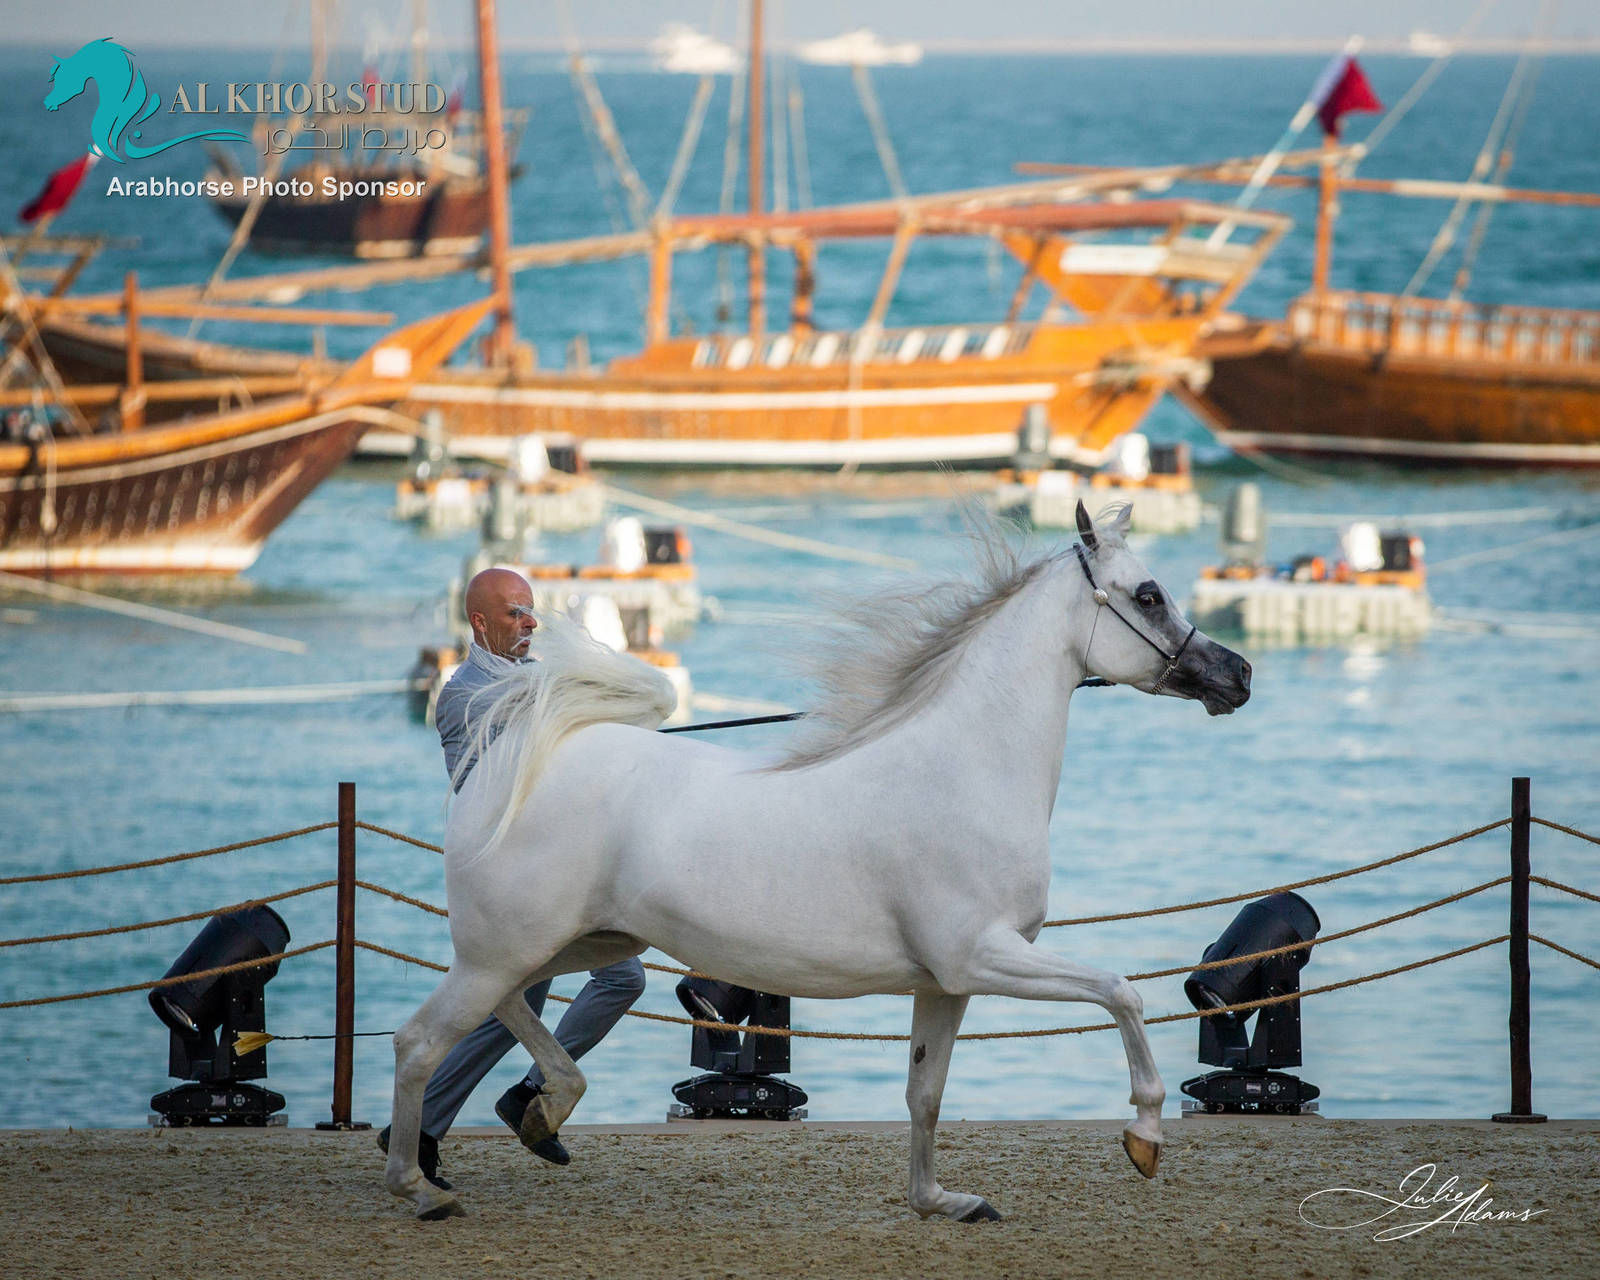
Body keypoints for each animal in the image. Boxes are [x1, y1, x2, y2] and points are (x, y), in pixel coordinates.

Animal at [385, 499, 1253, 1222]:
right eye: (1148, 594)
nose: (1237, 674)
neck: (966, 766)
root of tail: (498, 766)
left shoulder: (944, 983)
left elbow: (925, 1093)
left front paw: (941, 1202)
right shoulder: (983, 955)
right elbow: (1121, 993)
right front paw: (1144, 1138)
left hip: (570, 944)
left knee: (504, 1014)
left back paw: (543, 1111)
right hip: (506, 951)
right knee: (420, 1043)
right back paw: (420, 1187)